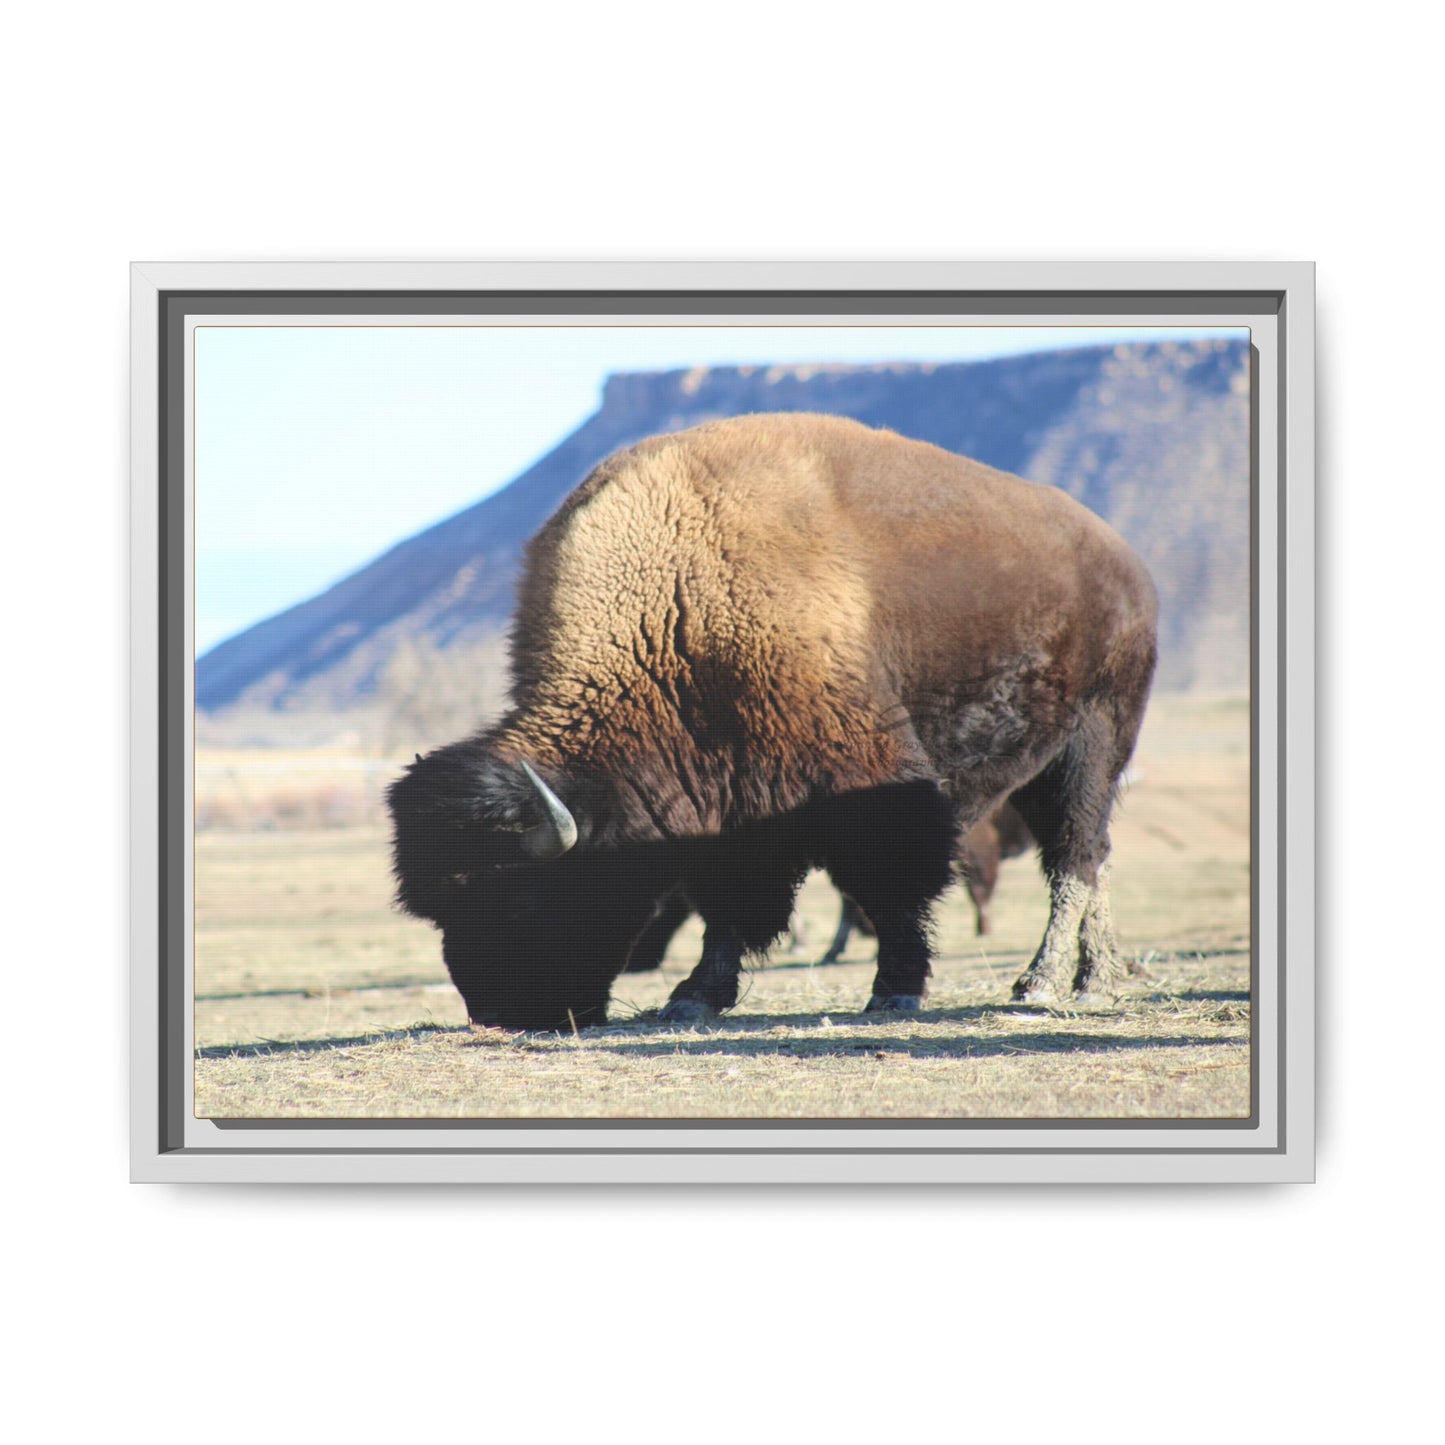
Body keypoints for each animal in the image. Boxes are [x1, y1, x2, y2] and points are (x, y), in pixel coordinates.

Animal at [388, 412, 1157, 1030]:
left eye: (519, 897)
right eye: (441, 910)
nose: (500, 1013)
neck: (675, 607)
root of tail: (1124, 561)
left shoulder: (867, 782)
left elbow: (891, 886)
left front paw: (894, 990)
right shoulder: (723, 807)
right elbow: (727, 905)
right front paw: (693, 996)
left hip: (1094, 741)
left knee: (1075, 856)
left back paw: (1047, 983)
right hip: (1043, 765)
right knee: (1088, 857)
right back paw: (1095, 976)